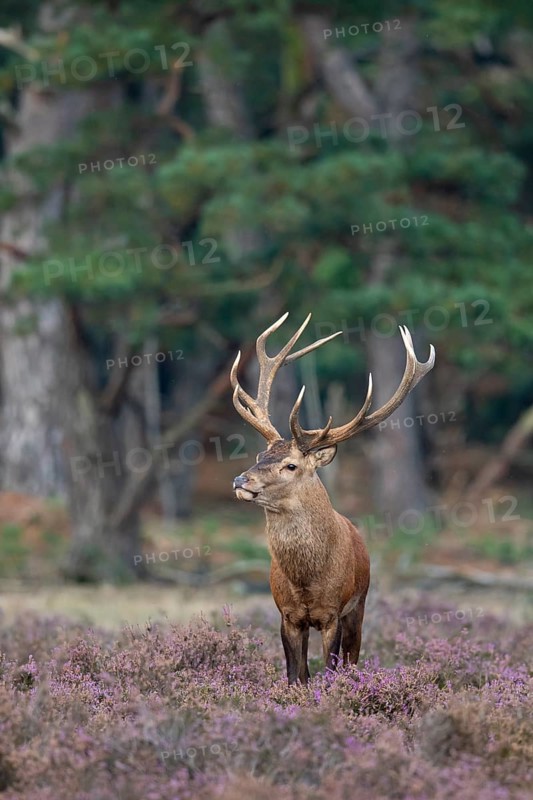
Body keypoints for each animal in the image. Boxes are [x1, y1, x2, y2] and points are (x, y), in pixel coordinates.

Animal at [231, 313, 435, 685]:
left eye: (291, 465)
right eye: (259, 455)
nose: (241, 479)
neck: (307, 579)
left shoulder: (334, 613)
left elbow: (330, 669)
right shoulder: (288, 615)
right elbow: (296, 675)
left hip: (360, 606)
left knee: (353, 659)